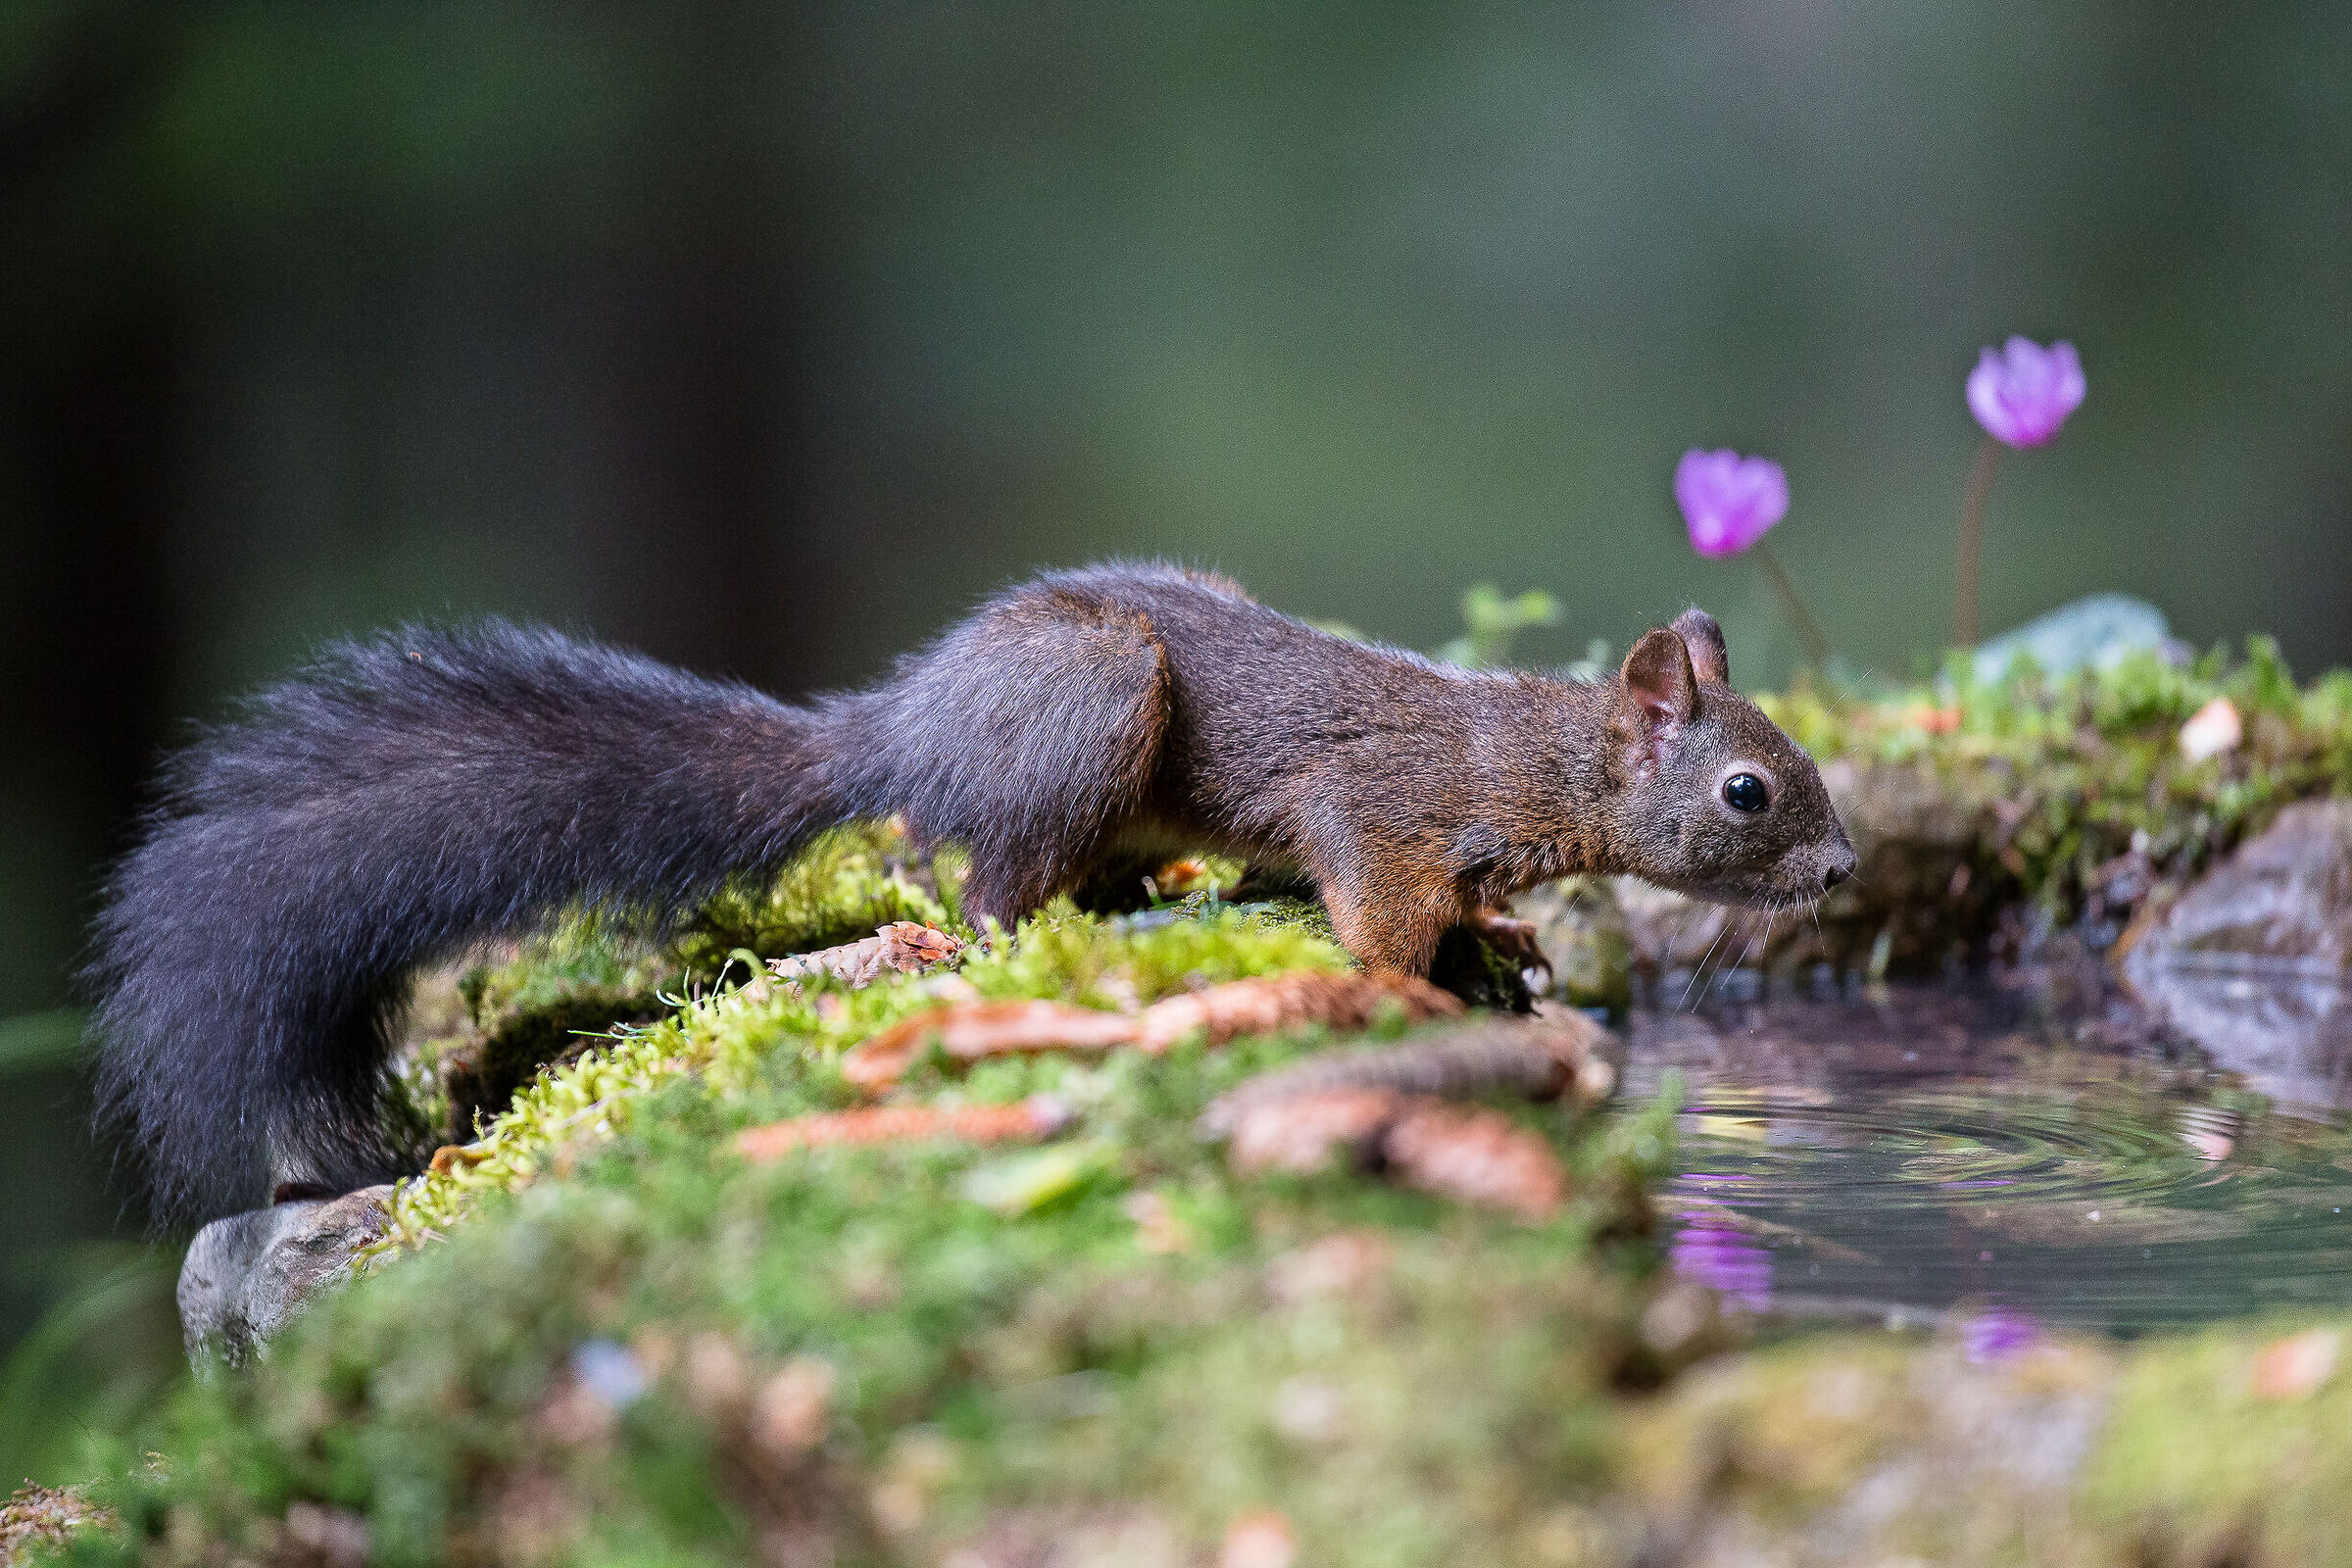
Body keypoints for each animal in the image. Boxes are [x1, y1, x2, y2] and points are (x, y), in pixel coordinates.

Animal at [88, 561, 1854, 1225]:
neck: (1540, 766)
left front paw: (1503, 938)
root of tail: (902, 729)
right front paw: (1415, 983)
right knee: (995, 882)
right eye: (1750, 792)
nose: (1844, 868)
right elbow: (1371, 907)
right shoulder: (1380, 815)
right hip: (1097, 710)